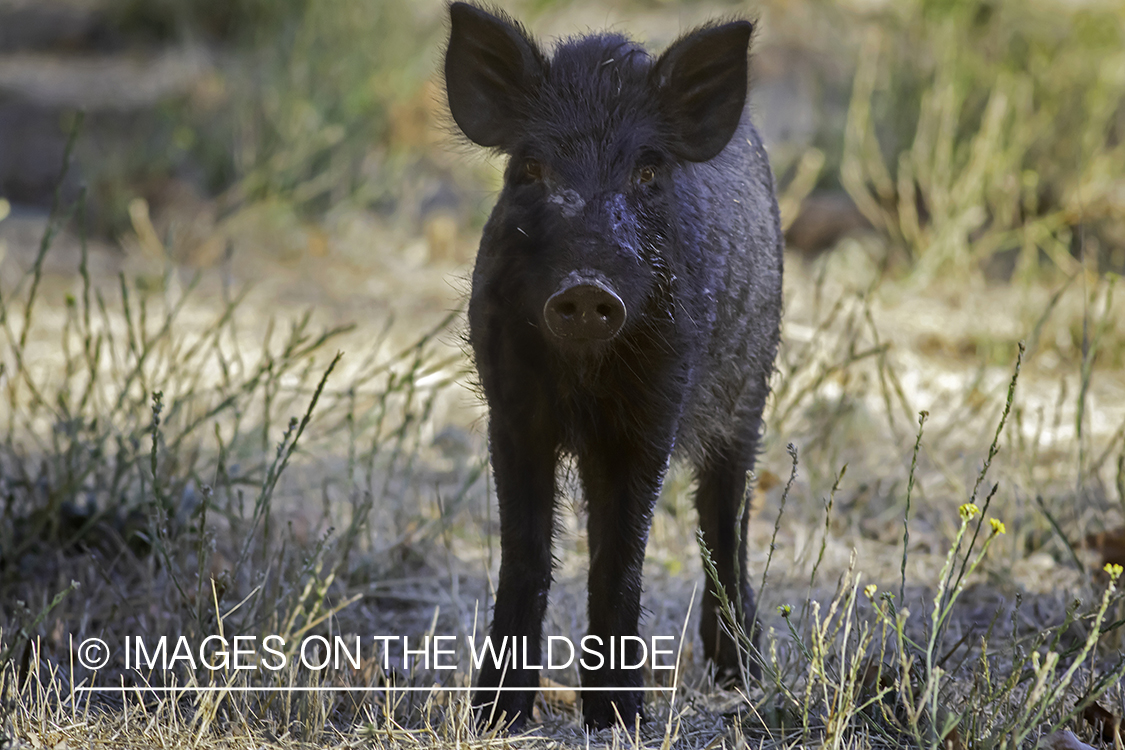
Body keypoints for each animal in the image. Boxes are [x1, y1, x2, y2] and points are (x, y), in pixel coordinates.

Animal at [445, 2, 783, 733]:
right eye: (531, 166)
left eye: (647, 173)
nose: (585, 288)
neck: (582, 377)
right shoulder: (510, 411)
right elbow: (524, 552)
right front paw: (495, 718)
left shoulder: (654, 412)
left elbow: (620, 555)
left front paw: (617, 719)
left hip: (750, 392)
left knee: (725, 513)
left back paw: (740, 676)